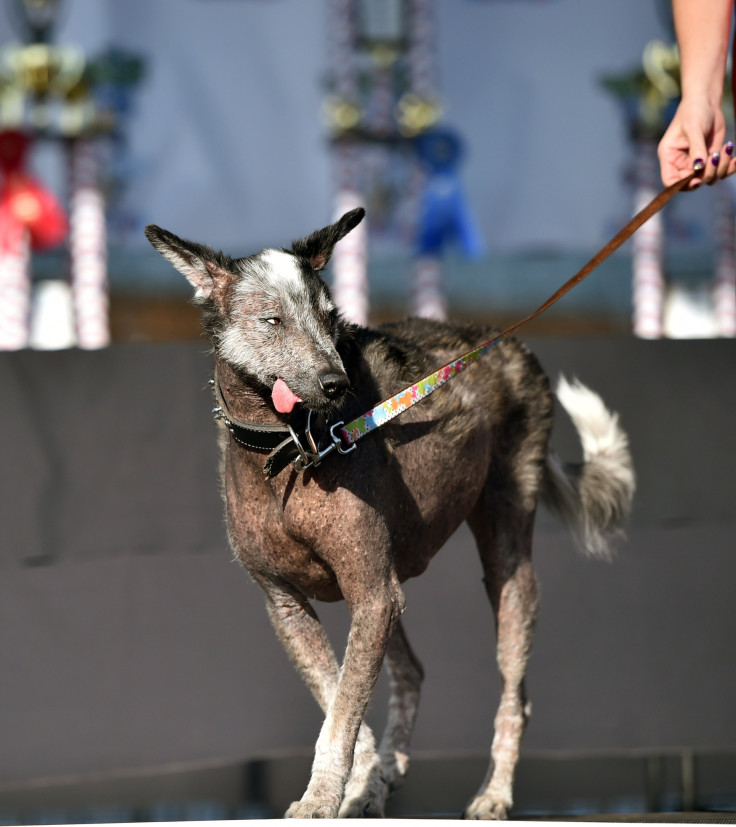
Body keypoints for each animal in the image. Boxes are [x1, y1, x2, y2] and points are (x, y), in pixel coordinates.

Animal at [147, 210, 636, 820]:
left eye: (330, 318)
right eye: (273, 320)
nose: (336, 383)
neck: (289, 449)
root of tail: (510, 343)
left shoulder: (372, 595)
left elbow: (339, 717)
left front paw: (320, 799)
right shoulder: (294, 606)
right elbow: (340, 702)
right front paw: (357, 783)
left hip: (503, 567)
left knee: (515, 695)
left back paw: (493, 794)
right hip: (391, 587)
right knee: (413, 673)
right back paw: (381, 780)